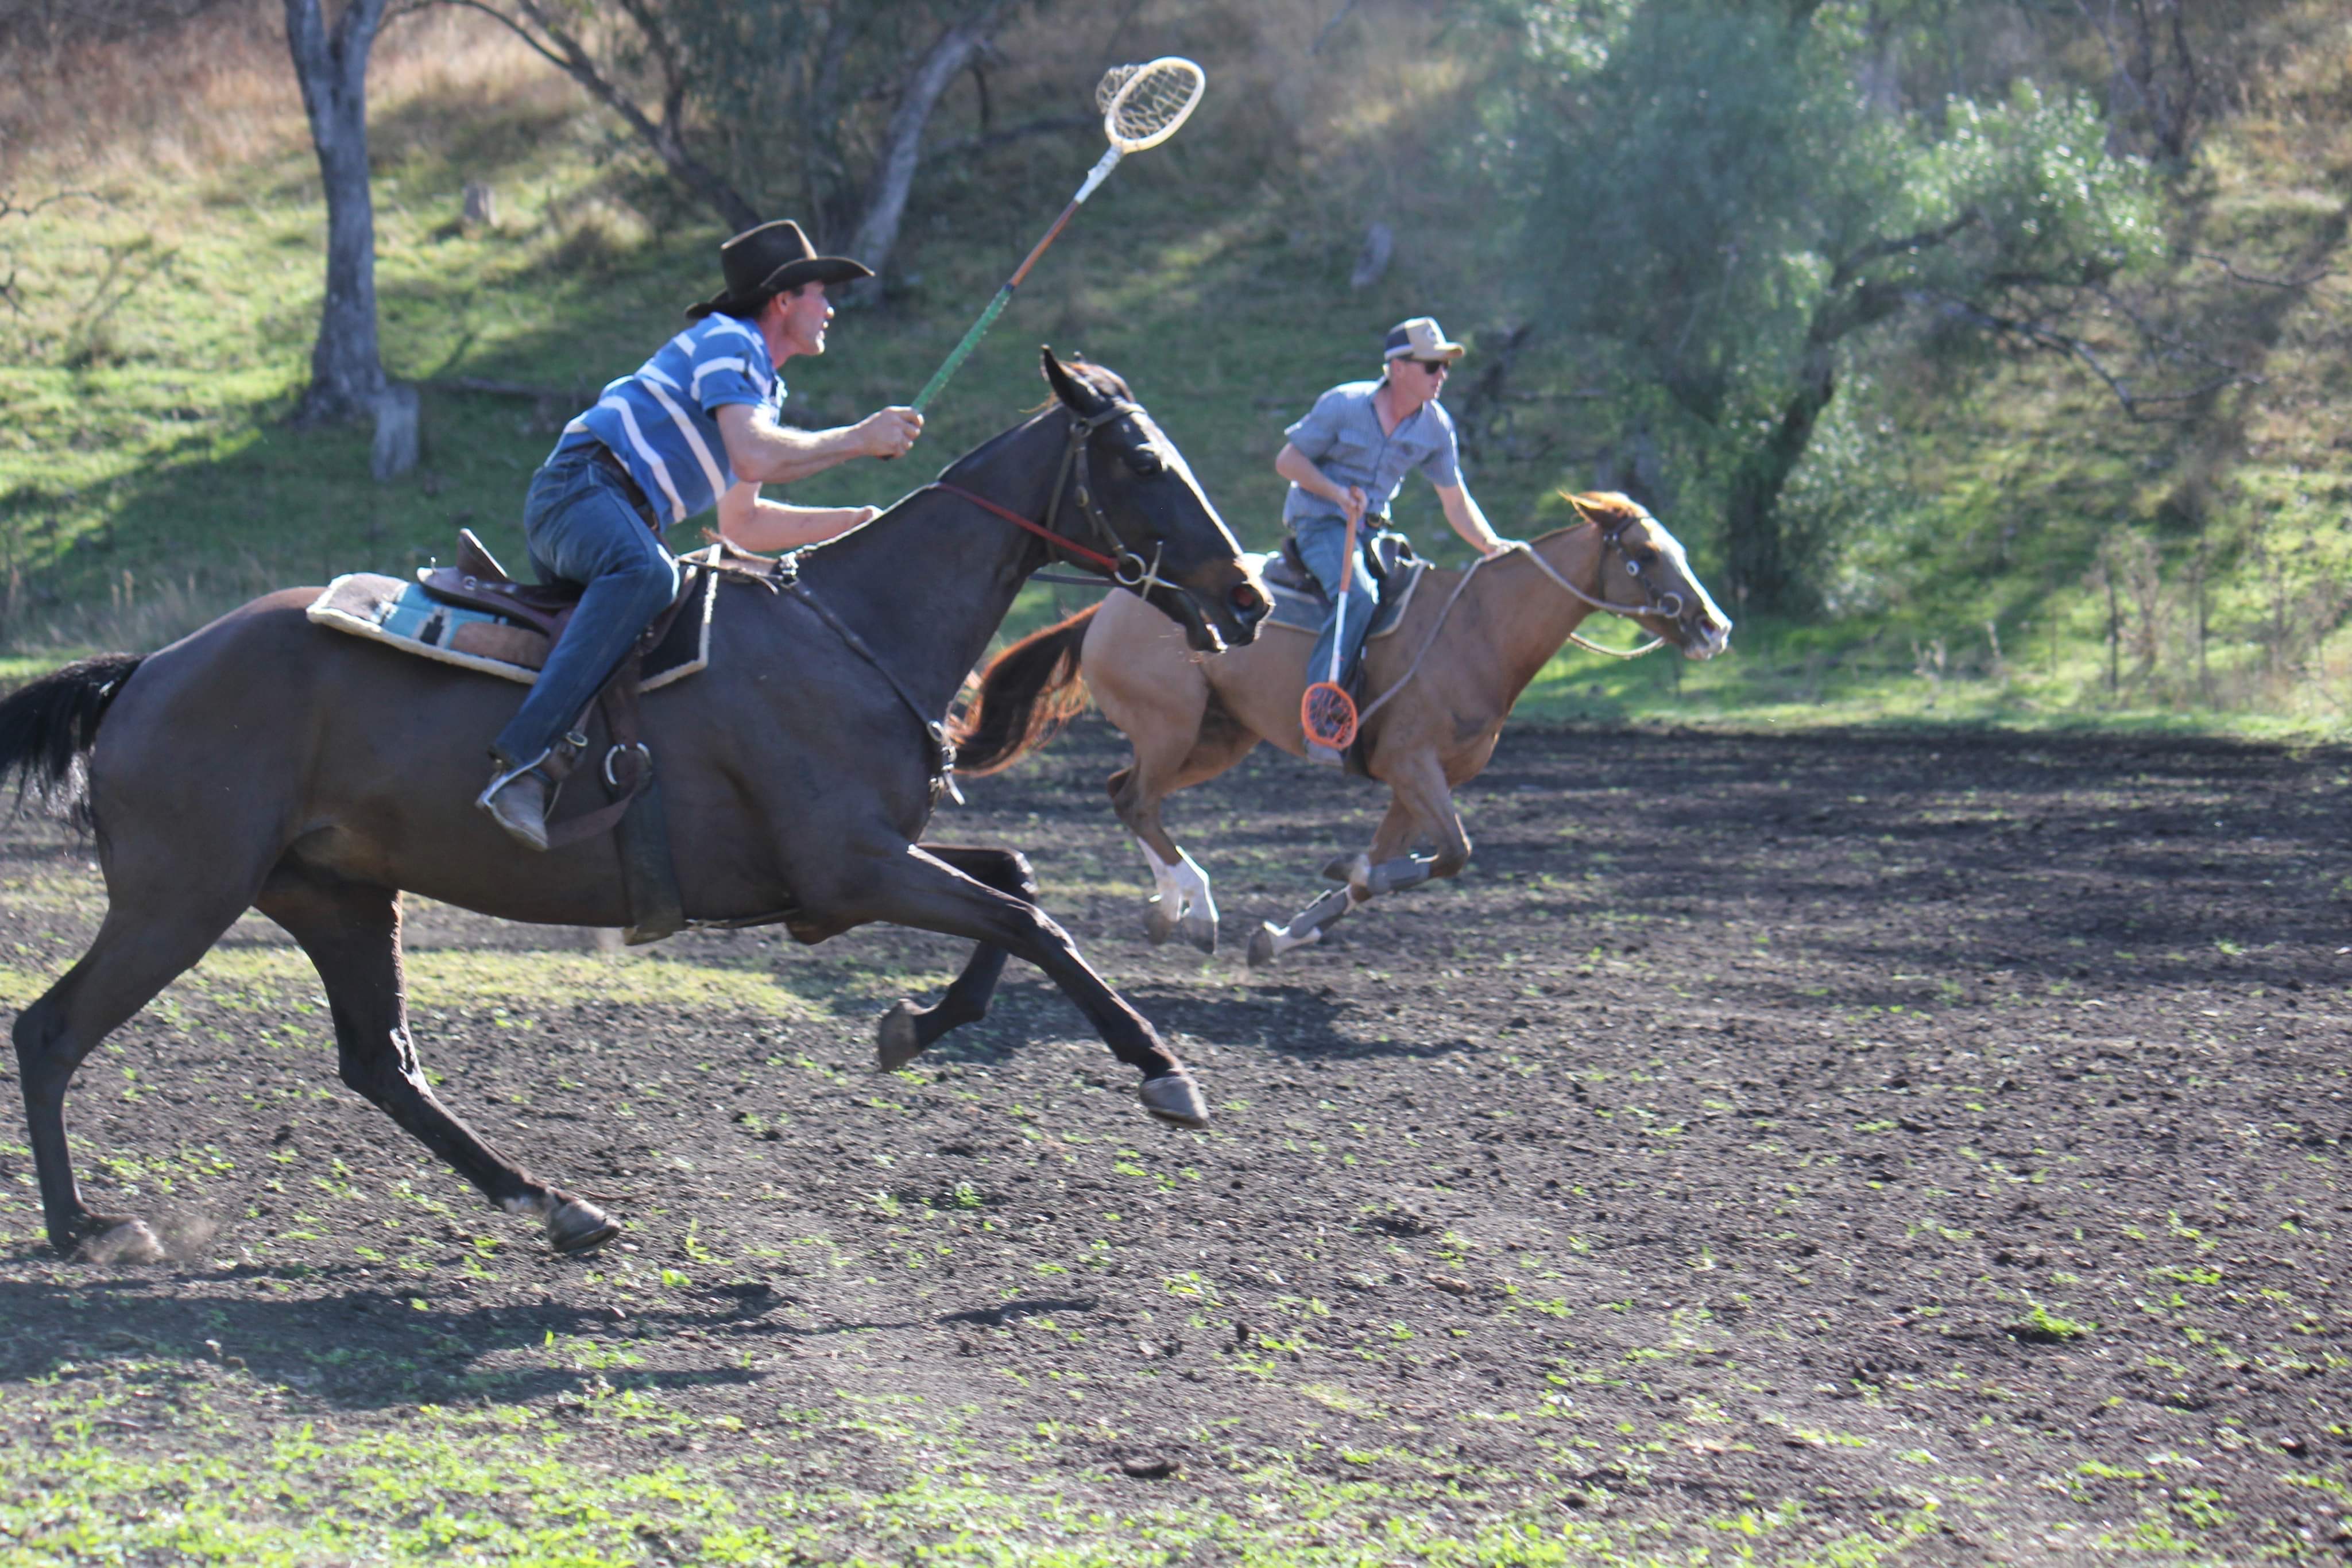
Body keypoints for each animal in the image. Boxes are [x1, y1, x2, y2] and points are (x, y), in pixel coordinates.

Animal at [0, 350, 1268, 1263]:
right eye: (1140, 459)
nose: (1249, 597)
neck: (852, 632)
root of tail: (148, 671)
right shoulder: (853, 866)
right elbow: (1032, 919)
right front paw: (1162, 1072)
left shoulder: (842, 875)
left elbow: (1015, 882)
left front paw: (913, 1026)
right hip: (182, 898)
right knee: (52, 1030)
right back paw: (85, 1228)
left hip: (338, 898)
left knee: (380, 1064)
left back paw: (553, 1203)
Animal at [948, 492, 1729, 967]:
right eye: (1646, 555)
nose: (1713, 627)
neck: (1478, 629)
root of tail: (1112, 603)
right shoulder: (1414, 768)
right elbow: (1451, 854)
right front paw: (1338, 876)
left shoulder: (1411, 786)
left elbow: (1391, 869)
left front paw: (1288, 930)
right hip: (1170, 726)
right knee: (1137, 800)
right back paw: (1196, 910)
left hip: (1217, 737)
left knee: (1123, 792)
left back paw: (1169, 910)